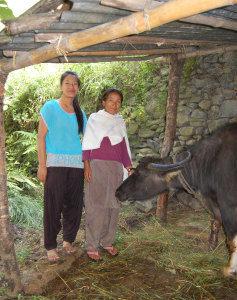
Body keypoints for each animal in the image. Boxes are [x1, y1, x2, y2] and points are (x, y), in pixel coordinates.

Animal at [115, 122, 237, 276]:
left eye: (139, 173)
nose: (118, 192)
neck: (209, 162)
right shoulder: (214, 200)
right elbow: (216, 222)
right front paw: (211, 247)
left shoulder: (228, 204)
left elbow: (232, 236)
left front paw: (230, 268)